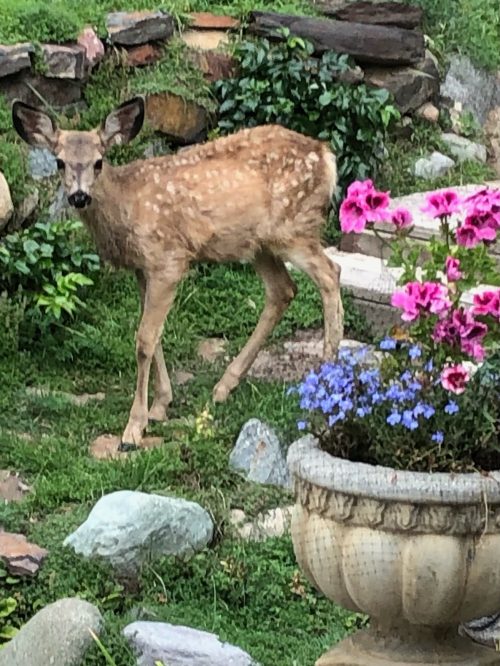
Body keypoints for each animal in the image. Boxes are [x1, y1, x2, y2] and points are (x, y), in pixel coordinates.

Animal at [12, 97, 344, 451]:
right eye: (59, 162)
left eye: (98, 162)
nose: (78, 196)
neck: (126, 207)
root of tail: (326, 155)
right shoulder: (143, 268)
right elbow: (153, 335)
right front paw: (160, 405)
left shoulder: (168, 259)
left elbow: (144, 340)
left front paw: (134, 427)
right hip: (260, 243)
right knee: (283, 290)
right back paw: (224, 386)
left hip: (293, 228)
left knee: (330, 273)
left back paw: (326, 377)